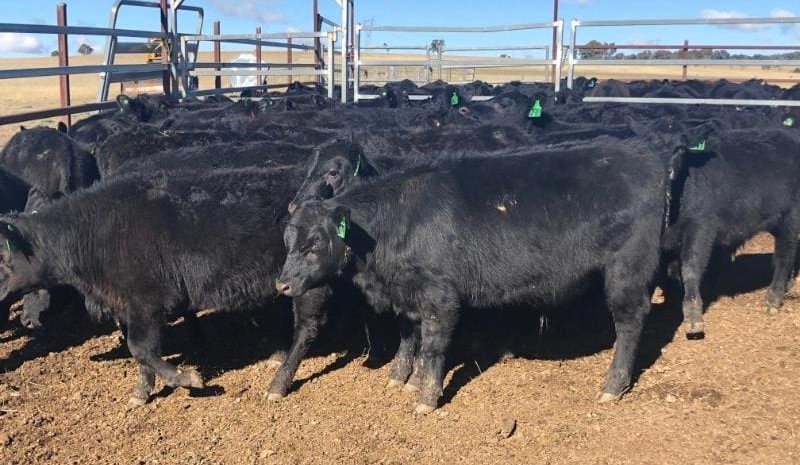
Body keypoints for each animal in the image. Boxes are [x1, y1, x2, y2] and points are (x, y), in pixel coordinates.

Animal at [0, 166, 325, 405]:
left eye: (2, 257)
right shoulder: (131, 306)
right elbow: (143, 350)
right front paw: (141, 393)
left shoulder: (148, 301)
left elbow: (140, 348)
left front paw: (187, 379)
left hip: (308, 282)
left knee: (307, 329)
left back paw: (278, 383)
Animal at [273, 138, 681, 413]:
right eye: (288, 241)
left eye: (314, 244)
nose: (282, 283)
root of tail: (644, 154)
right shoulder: (410, 293)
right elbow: (412, 335)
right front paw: (406, 380)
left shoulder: (441, 296)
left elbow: (434, 344)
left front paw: (426, 397)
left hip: (628, 268)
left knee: (630, 321)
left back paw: (613, 384)